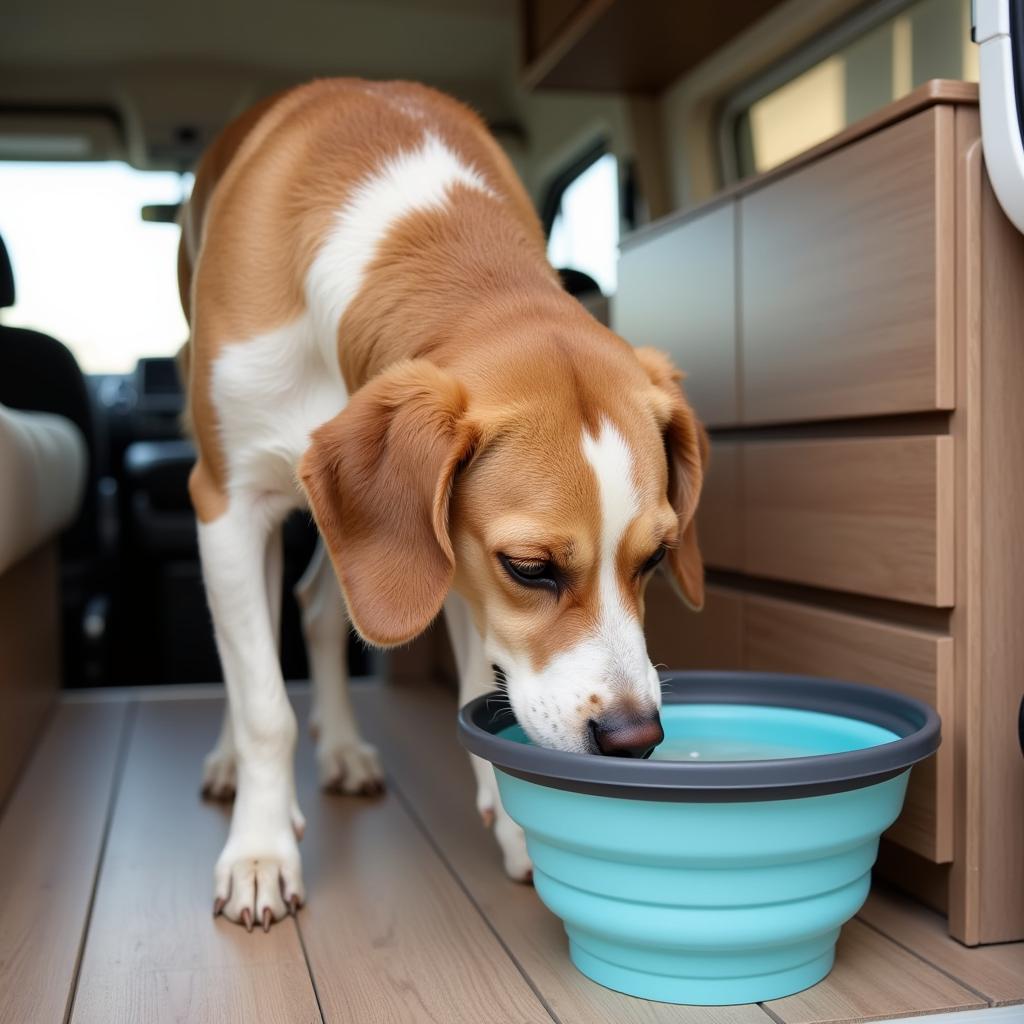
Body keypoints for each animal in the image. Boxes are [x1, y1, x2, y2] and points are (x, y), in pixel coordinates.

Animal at [178, 75, 704, 933]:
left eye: (657, 557)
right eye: (530, 567)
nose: (635, 737)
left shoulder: (448, 561)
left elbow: (474, 688)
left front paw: (519, 825)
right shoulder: (229, 503)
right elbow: (263, 705)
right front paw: (258, 851)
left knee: (318, 609)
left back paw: (341, 747)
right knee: (247, 647)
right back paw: (233, 766)